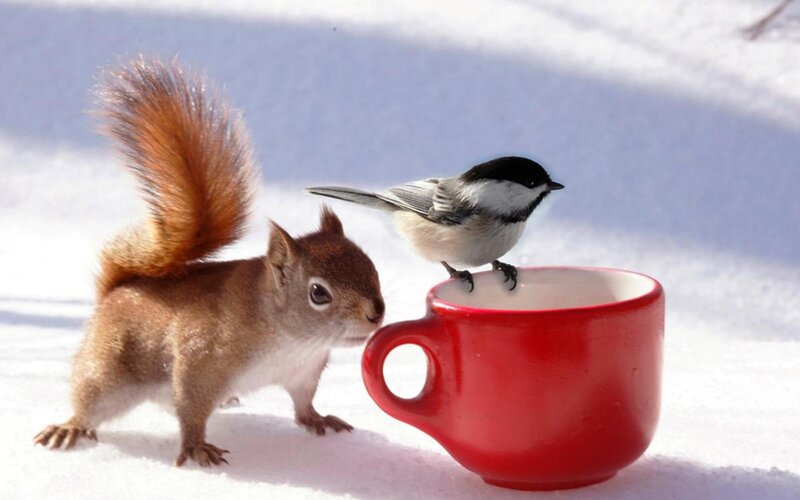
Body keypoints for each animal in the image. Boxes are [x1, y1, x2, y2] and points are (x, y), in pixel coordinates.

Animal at [33, 58, 385, 467]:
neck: (290, 339)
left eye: (371, 267)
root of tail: (117, 289)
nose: (376, 313)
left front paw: (318, 419)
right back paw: (69, 427)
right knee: (89, 399)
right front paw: (196, 447)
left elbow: (302, 405)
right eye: (319, 293)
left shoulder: (304, 373)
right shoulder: (200, 359)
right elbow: (190, 408)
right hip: (107, 370)